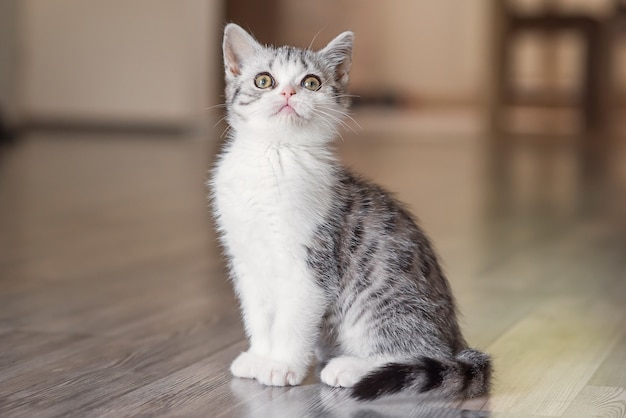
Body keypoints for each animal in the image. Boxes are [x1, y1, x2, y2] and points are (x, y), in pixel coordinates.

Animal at [210, 23, 488, 402]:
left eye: (311, 82)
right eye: (264, 80)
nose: (288, 92)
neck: (275, 155)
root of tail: (455, 340)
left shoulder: (312, 265)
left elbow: (291, 320)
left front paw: (282, 365)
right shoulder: (246, 261)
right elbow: (258, 314)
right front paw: (259, 355)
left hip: (381, 303)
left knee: (419, 351)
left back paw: (352, 368)